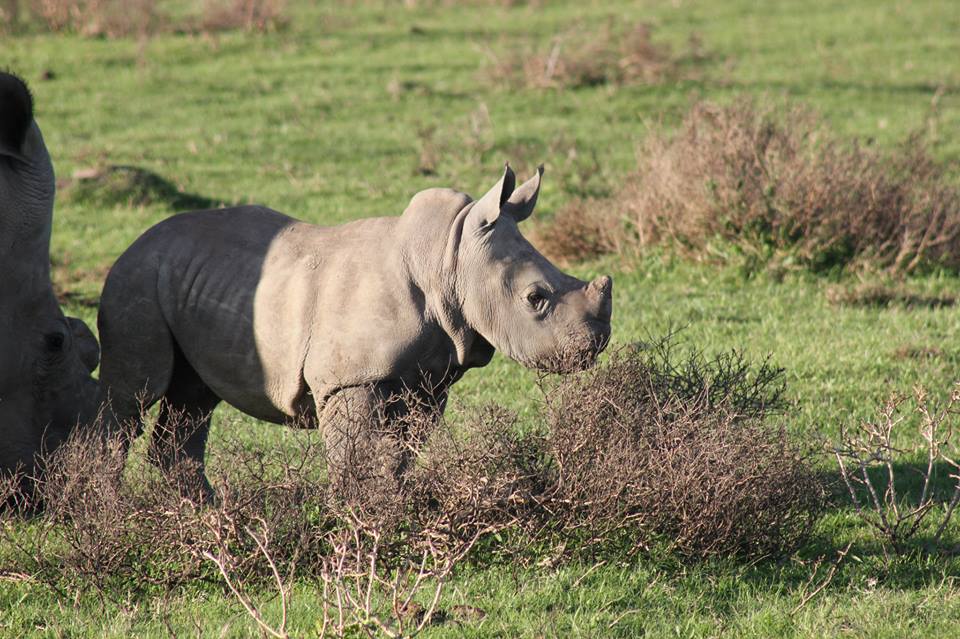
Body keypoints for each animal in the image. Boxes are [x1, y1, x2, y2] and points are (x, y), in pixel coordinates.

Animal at [97, 165, 616, 496]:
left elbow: (401, 452)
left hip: (188, 279)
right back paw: (109, 511)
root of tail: (135, 241)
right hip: (137, 276)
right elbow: (355, 454)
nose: (595, 345)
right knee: (136, 395)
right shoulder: (349, 378)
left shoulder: (428, 380)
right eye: (535, 299)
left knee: (195, 394)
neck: (447, 258)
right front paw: (358, 521)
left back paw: (202, 516)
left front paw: (393, 510)